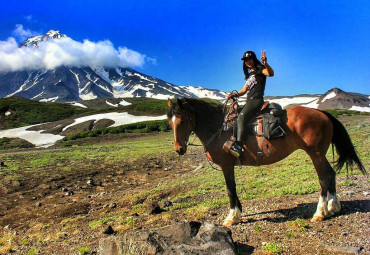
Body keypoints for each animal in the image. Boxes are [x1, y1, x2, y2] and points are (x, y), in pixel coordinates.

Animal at [168, 98, 368, 226]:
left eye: (183, 120)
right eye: (170, 122)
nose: (179, 149)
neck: (219, 128)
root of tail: (322, 113)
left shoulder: (227, 165)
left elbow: (230, 189)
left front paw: (232, 217)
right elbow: (233, 189)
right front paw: (239, 211)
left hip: (316, 154)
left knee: (324, 177)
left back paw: (320, 212)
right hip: (320, 154)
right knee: (331, 174)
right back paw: (334, 206)